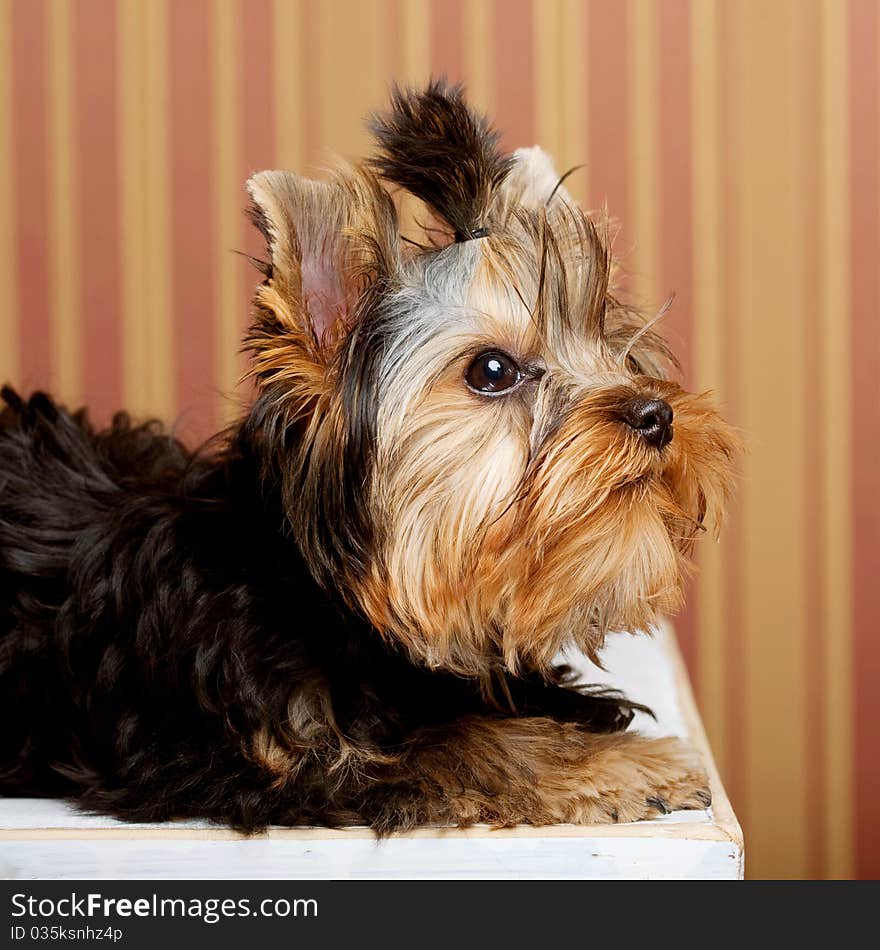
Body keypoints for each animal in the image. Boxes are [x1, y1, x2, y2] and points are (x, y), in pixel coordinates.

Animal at [0, 83, 736, 832]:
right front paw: (620, 763)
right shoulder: (264, 751)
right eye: (492, 370)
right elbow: (460, 744)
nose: (656, 415)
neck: (319, 590)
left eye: (611, 347)